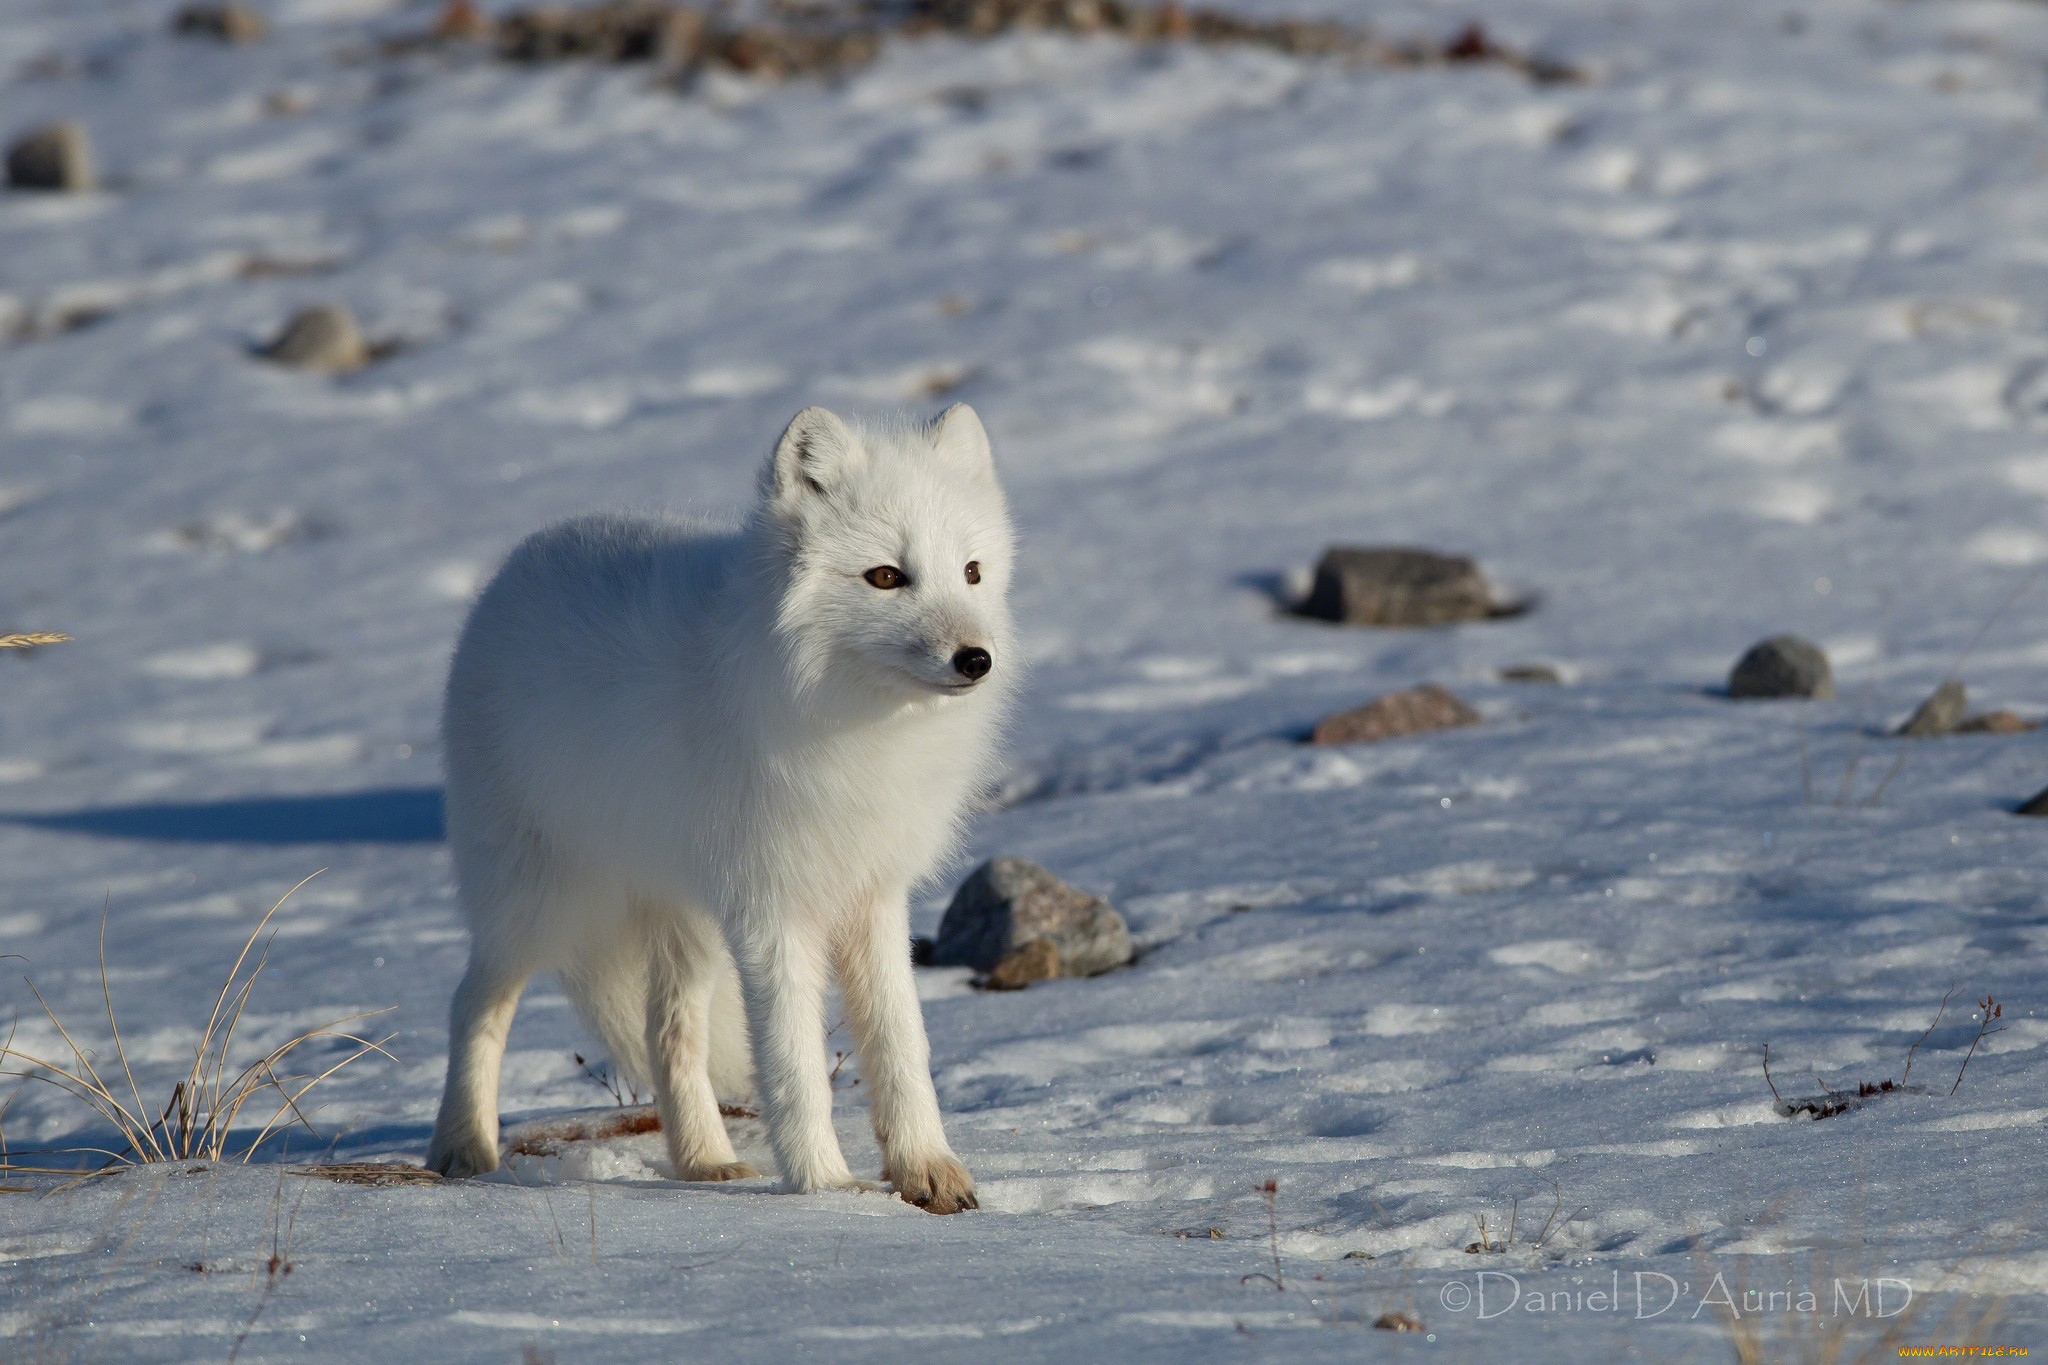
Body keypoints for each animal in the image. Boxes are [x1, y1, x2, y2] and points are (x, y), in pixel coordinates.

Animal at [425, 401, 1015, 1211]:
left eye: (972, 571)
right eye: (887, 577)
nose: (975, 659)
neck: (851, 721)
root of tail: (513, 569)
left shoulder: (871, 892)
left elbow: (902, 1047)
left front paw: (929, 1172)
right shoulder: (771, 909)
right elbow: (794, 1064)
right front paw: (826, 1188)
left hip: (686, 919)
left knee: (665, 1032)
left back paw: (704, 1160)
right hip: (541, 901)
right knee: (472, 1003)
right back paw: (462, 1147)